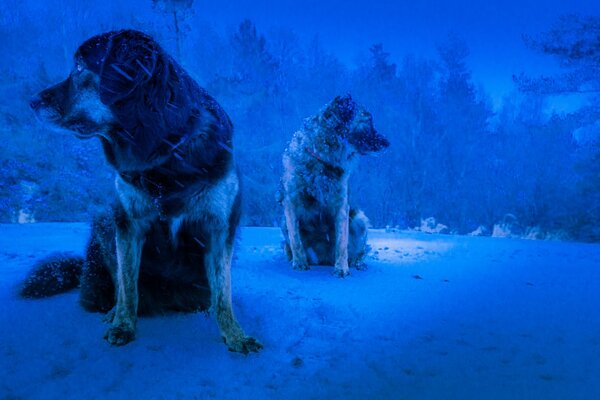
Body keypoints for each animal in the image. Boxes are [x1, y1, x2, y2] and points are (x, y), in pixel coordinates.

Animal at [25, 28, 262, 354]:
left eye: (79, 67)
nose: (32, 101)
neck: (162, 149)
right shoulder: (126, 222)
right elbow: (127, 283)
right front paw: (123, 323)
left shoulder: (220, 226)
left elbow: (223, 291)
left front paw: (235, 334)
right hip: (103, 221)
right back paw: (112, 311)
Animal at [280, 94, 390, 276]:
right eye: (367, 120)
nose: (387, 143)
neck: (322, 160)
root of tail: (324, 259)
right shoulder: (291, 202)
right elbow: (295, 238)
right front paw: (300, 262)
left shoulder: (341, 205)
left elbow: (341, 242)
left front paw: (341, 268)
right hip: (283, 223)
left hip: (359, 219)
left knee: (359, 252)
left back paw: (357, 263)